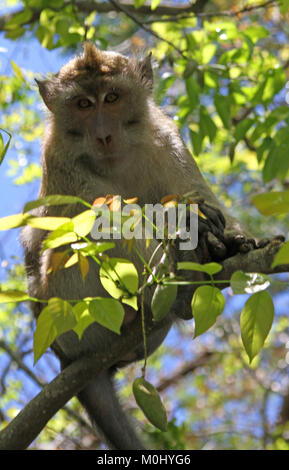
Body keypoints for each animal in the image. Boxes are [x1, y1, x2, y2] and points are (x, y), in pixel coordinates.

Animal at [20, 43, 264, 448]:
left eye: (112, 98)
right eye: (83, 104)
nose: (103, 135)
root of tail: (65, 358)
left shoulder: (167, 138)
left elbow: (198, 194)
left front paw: (226, 238)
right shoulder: (61, 160)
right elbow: (91, 220)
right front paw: (187, 229)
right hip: (68, 314)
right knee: (97, 226)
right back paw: (166, 289)